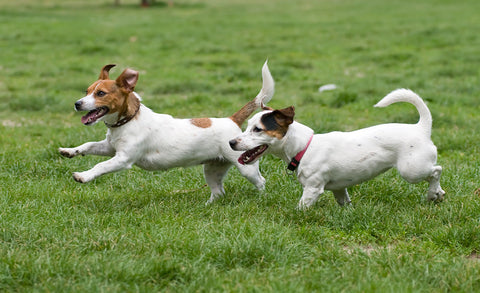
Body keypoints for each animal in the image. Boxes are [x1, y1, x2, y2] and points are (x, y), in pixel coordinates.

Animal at [59, 61, 274, 203]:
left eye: (100, 93)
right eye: (86, 91)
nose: (77, 103)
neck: (129, 121)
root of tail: (231, 119)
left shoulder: (123, 158)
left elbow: (101, 166)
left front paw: (83, 176)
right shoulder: (109, 148)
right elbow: (88, 145)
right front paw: (69, 151)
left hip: (246, 167)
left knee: (261, 181)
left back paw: (261, 198)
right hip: (213, 169)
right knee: (218, 191)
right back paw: (209, 205)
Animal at [231, 88, 444, 208]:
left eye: (258, 129)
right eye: (247, 126)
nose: (231, 142)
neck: (304, 147)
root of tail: (421, 127)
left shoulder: (313, 189)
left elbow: (301, 207)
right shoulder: (340, 189)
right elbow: (345, 203)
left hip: (412, 170)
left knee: (436, 170)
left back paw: (432, 193)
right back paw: (438, 194)